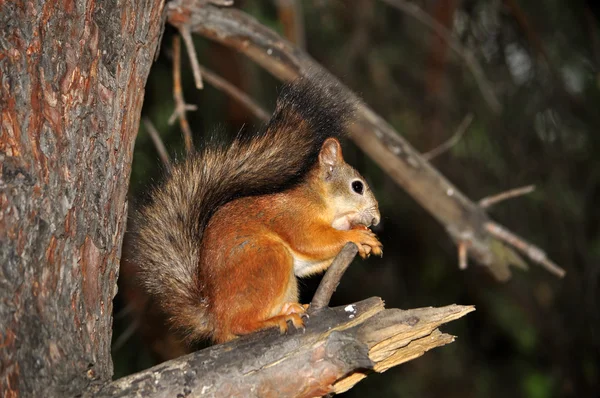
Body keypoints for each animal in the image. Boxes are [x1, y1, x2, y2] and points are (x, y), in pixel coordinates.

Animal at [134, 76, 382, 344]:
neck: (320, 200)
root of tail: (215, 317)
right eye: (357, 186)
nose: (377, 219)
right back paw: (277, 318)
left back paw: (291, 308)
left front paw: (365, 240)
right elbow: (311, 240)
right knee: (239, 324)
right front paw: (358, 235)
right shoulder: (293, 216)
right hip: (266, 259)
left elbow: (310, 262)